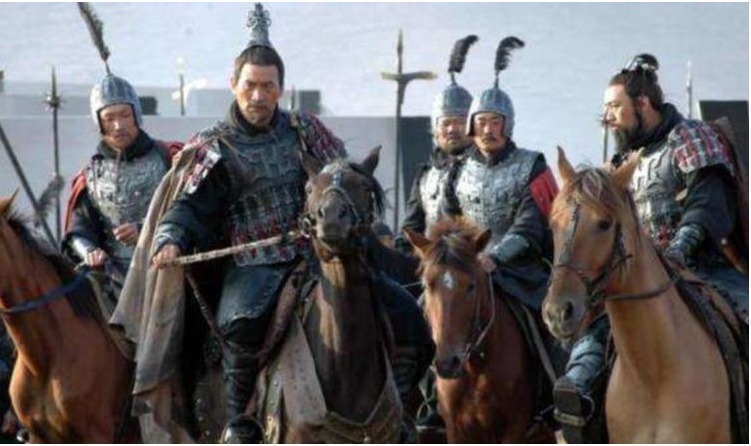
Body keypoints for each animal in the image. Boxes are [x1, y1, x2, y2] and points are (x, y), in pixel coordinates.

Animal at [404, 218, 554, 443]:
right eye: (427, 285)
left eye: (471, 286)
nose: (447, 363)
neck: (477, 366)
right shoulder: (455, 429)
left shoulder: (515, 426)